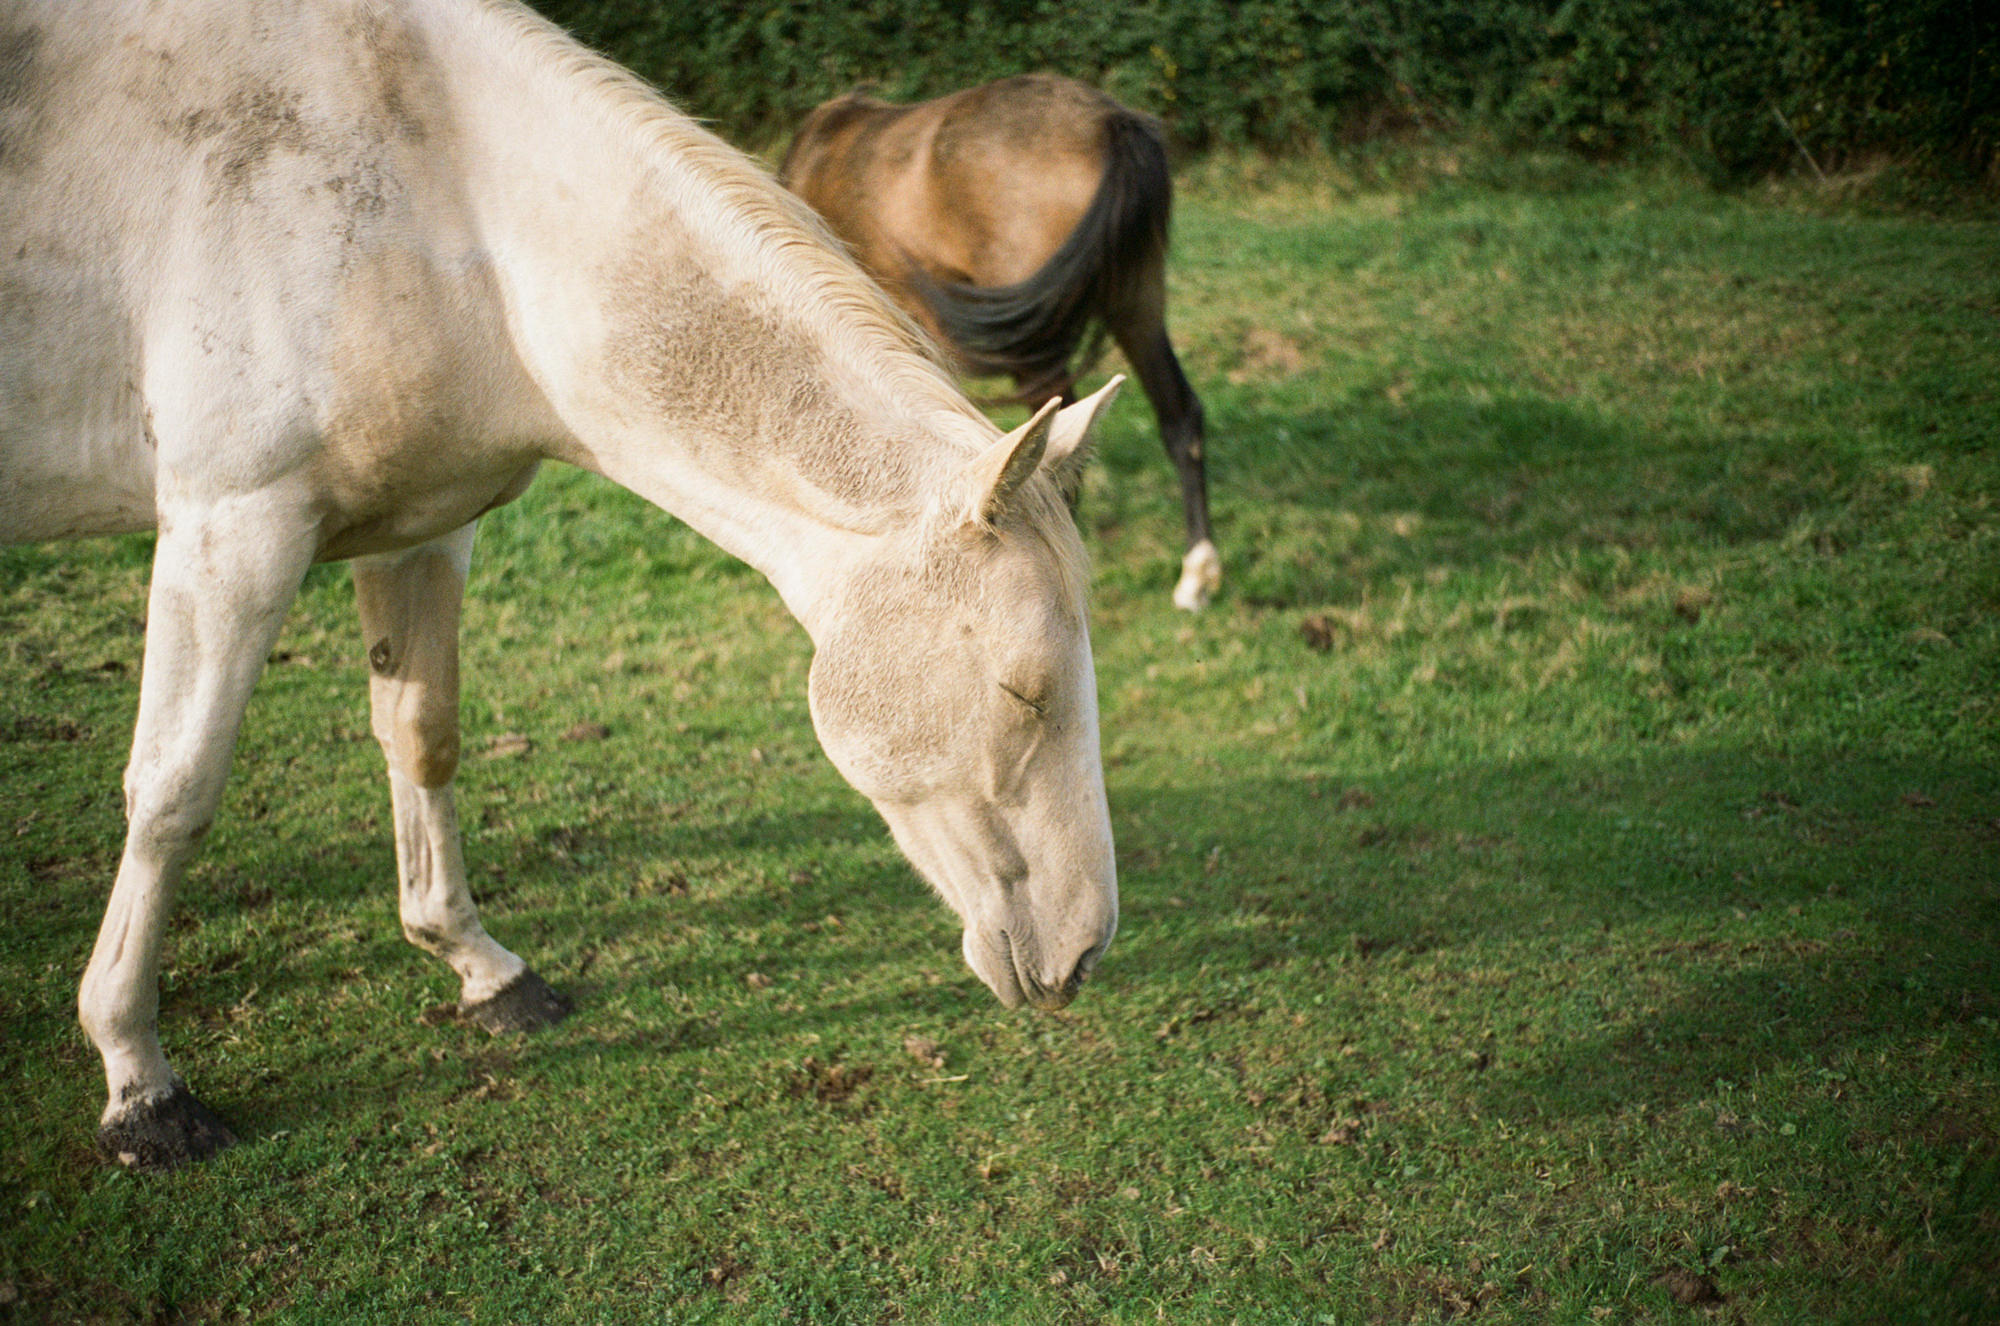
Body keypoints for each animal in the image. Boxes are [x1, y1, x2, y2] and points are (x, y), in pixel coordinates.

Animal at [3, 0, 1128, 1168]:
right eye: (1025, 694)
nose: (1086, 952)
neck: (442, 199)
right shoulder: (231, 529)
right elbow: (173, 795)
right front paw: (138, 1079)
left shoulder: (422, 531)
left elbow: (422, 736)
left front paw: (480, 968)